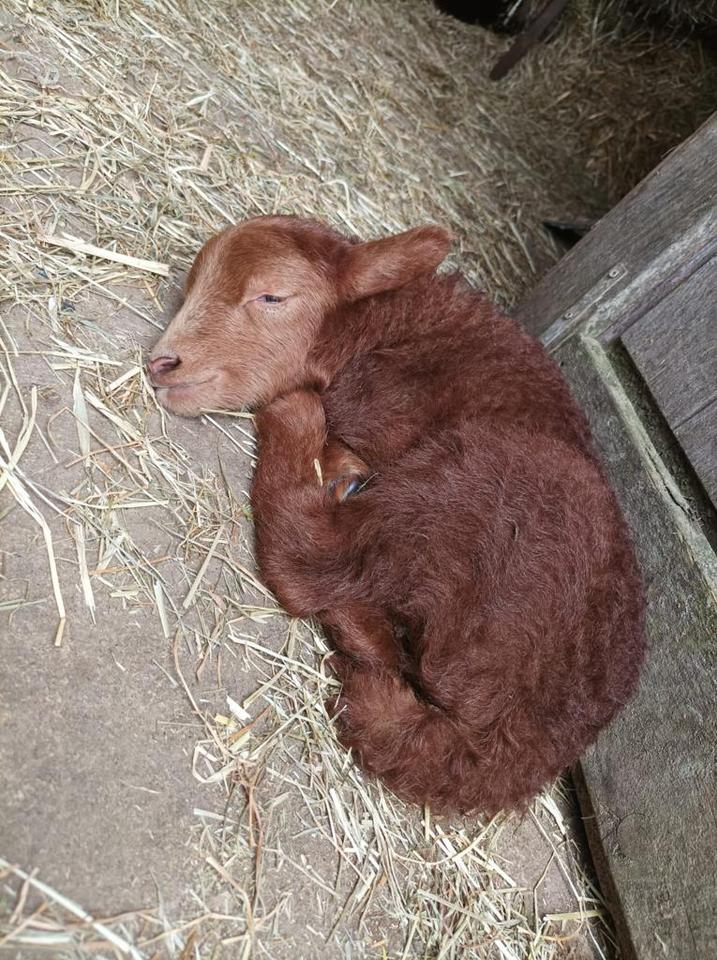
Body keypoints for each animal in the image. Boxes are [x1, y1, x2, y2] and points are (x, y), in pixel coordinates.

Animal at [148, 215, 646, 813]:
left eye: (272, 296)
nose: (162, 362)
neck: (388, 328)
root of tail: (512, 746)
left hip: (465, 484)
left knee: (313, 561)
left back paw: (298, 417)